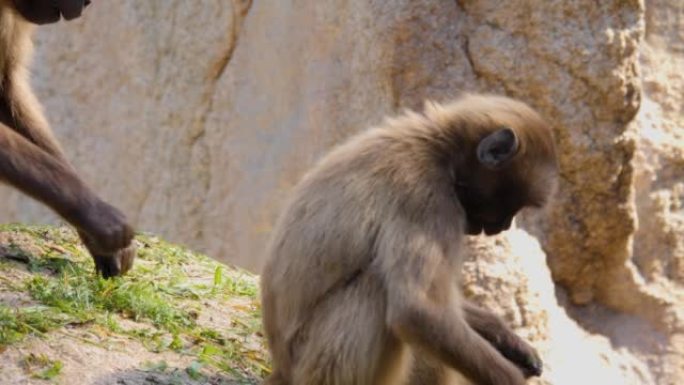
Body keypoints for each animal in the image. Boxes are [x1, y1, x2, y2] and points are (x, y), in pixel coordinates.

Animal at [260, 94, 560, 384]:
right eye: (510, 206)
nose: (503, 226)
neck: (438, 147)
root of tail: (282, 369)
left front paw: (507, 338)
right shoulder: (427, 196)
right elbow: (418, 312)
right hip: (314, 363)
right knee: (376, 286)